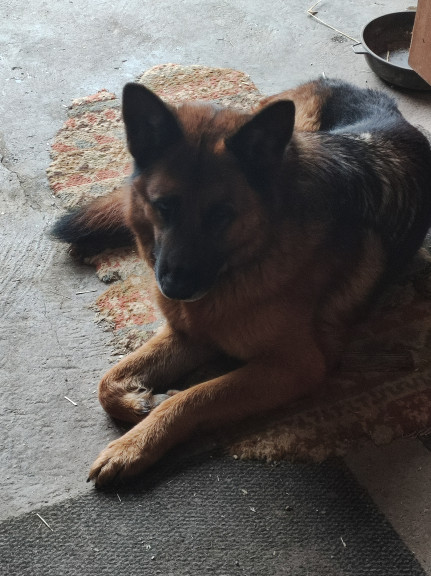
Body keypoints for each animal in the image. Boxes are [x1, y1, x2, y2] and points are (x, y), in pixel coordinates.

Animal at [52, 77, 431, 487]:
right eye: (164, 206)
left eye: (222, 215)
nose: (175, 289)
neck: (252, 256)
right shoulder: (189, 335)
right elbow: (106, 382)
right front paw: (141, 401)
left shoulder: (293, 366)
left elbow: (194, 395)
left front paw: (135, 444)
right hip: (301, 132)